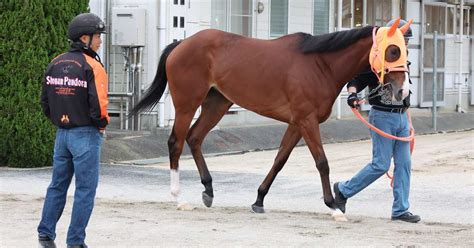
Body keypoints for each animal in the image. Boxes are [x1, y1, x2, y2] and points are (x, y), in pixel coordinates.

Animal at [130, 17, 412, 215]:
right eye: (393, 51)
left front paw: (258, 200)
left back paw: (208, 189)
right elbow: (322, 162)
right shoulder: (307, 121)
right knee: (176, 143)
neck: (320, 65)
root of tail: (181, 44)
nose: (403, 91)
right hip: (187, 104)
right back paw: (178, 198)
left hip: (217, 103)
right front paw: (333, 206)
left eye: (404, 51)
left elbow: (279, 161)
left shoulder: (297, 123)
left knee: (195, 138)